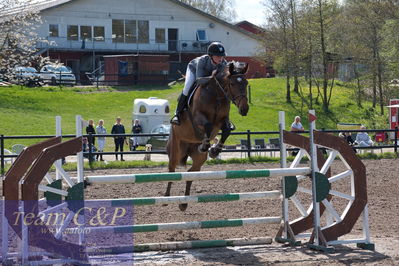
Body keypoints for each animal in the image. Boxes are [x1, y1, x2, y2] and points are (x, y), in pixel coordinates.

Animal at [166, 61, 250, 211]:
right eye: (232, 84)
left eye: (246, 83)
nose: (244, 109)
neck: (217, 95)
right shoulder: (198, 118)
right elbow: (208, 126)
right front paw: (206, 146)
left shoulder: (222, 121)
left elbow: (227, 130)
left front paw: (215, 150)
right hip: (176, 149)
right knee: (172, 170)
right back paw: (166, 198)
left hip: (198, 159)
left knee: (190, 172)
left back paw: (183, 203)